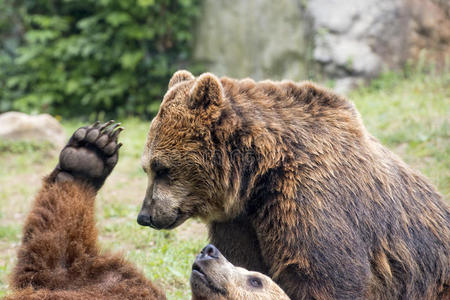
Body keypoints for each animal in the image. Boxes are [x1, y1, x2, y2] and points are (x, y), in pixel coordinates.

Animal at [137, 71, 450, 300]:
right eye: (147, 167)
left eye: (161, 168)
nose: (145, 216)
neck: (256, 177)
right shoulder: (241, 221)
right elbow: (240, 260)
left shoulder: (310, 199)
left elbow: (326, 276)